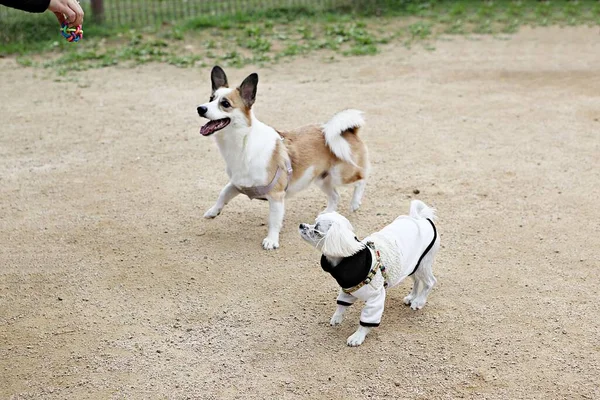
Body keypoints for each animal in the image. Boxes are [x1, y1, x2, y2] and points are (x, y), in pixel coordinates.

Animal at [197, 67, 368, 252]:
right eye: (211, 98)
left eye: (225, 104)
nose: (200, 108)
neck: (242, 144)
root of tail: (348, 131)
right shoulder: (237, 184)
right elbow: (222, 194)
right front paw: (213, 211)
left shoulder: (276, 196)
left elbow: (273, 221)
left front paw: (271, 240)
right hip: (322, 179)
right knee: (335, 195)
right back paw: (329, 212)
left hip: (341, 175)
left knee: (361, 178)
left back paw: (355, 202)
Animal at [298, 202, 438, 346]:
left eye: (316, 230)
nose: (301, 225)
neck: (349, 258)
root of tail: (421, 218)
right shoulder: (347, 290)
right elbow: (341, 306)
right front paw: (337, 318)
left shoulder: (375, 298)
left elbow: (366, 321)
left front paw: (357, 336)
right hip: (412, 265)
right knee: (417, 281)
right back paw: (411, 297)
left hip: (423, 265)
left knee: (430, 282)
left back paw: (418, 301)